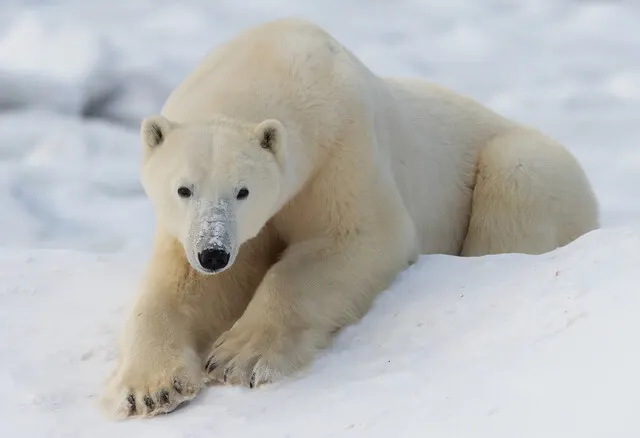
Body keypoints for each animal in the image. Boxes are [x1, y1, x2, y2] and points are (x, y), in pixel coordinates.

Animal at [101, 18, 599, 418]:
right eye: (183, 189)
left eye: (243, 190)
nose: (213, 252)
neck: (270, 58)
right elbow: (181, 286)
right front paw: (150, 388)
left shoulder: (341, 149)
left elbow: (354, 238)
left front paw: (240, 356)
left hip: (526, 163)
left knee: (515, 177)